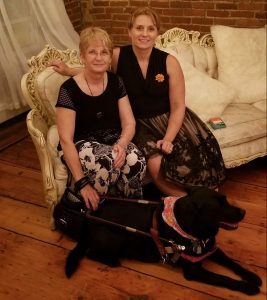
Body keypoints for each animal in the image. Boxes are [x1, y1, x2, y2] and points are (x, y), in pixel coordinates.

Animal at [66, 186, 262, 294]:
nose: (243, 212)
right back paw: (112, 260)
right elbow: (222, 278)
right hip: (113, 238)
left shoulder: (212, 248)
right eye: (219, 206)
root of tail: (89, 218)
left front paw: (252, 277)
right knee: (91, 252)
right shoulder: (194, 270)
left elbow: (233, 263)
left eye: (226, 200)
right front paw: (247, 287)